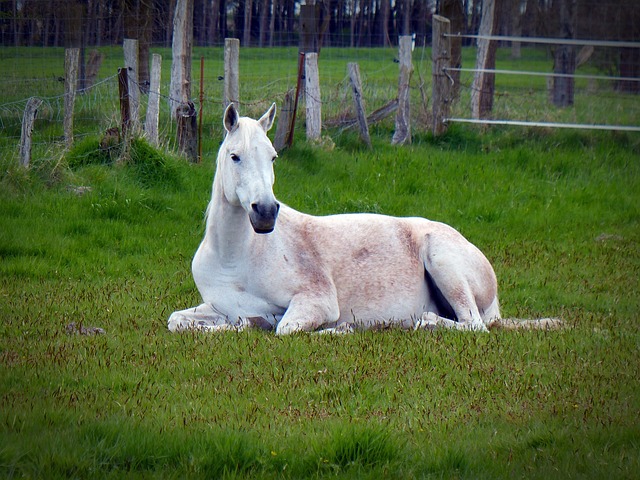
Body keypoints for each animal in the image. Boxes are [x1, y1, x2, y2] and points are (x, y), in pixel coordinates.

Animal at [169, 104, 560, 334]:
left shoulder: (316, 301)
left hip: (444, 262)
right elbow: (179, 321)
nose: (265, 211)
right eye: (234, 156)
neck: (235, 258)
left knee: (472, 325)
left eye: (274, 157)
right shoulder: (218, 307)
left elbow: (284, 327)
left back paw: (417, 322)